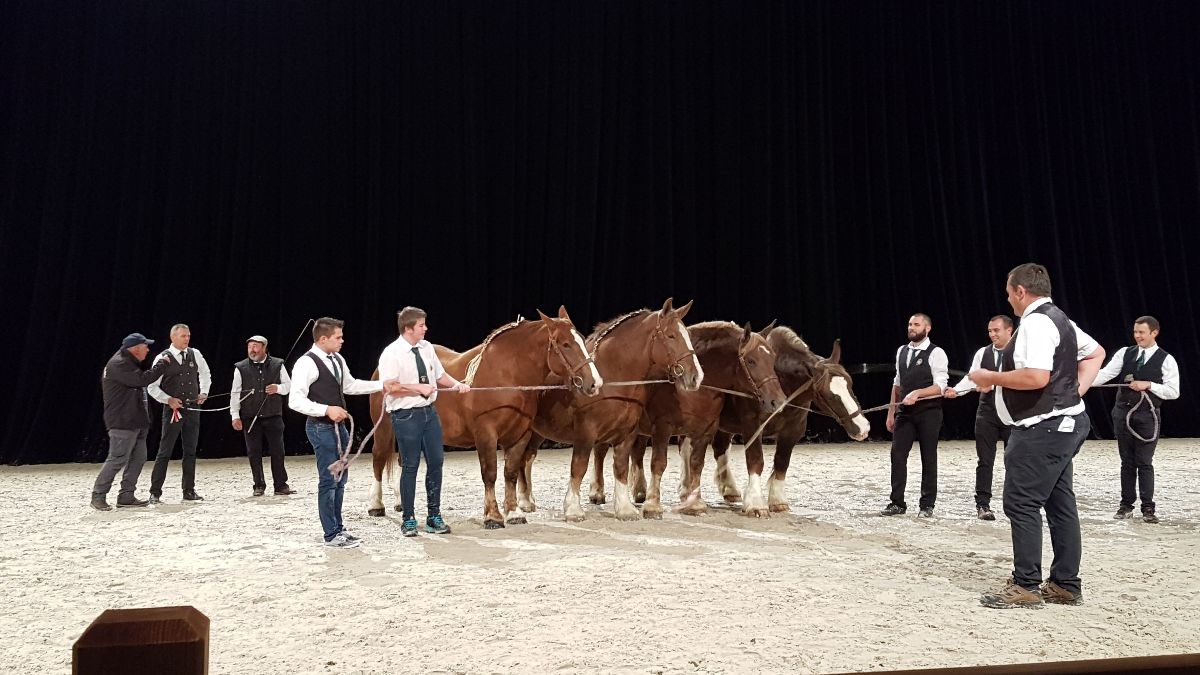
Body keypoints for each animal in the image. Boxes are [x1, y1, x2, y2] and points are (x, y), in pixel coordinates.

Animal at [364, 305, 600, 526]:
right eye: (565, 344)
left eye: (581, 339)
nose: (595, 383)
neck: (507, 376)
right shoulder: (486, 434)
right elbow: (490, 473)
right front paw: (493, 516)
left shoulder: (520, 436)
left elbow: (510, 473)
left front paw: (513, 513)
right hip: (384, 429)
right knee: (378, 459)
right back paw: (376, 505)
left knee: (404, 462)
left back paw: (401, 503)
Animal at [516, 296, 700, 523]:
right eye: (671, 335)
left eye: (687, 336)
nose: (696, 376)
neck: (612, 378)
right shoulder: (586, 432)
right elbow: (579, 467)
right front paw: (573, 509)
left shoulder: (628, 433)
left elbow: (620, 466)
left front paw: (624, 508)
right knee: (524, 458)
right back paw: (524, 501)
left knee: (528, 457)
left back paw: (527, 498)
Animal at [696, 324, 873, 509]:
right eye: (830, 395)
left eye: (850, 383)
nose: (862, 427)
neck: (780, 383)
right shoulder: (752, 426)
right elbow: (755, 460)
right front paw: (755, 503)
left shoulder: (793, 430)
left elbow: (782, 462)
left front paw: (777, 501)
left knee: (720, 448)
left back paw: (730, 489)